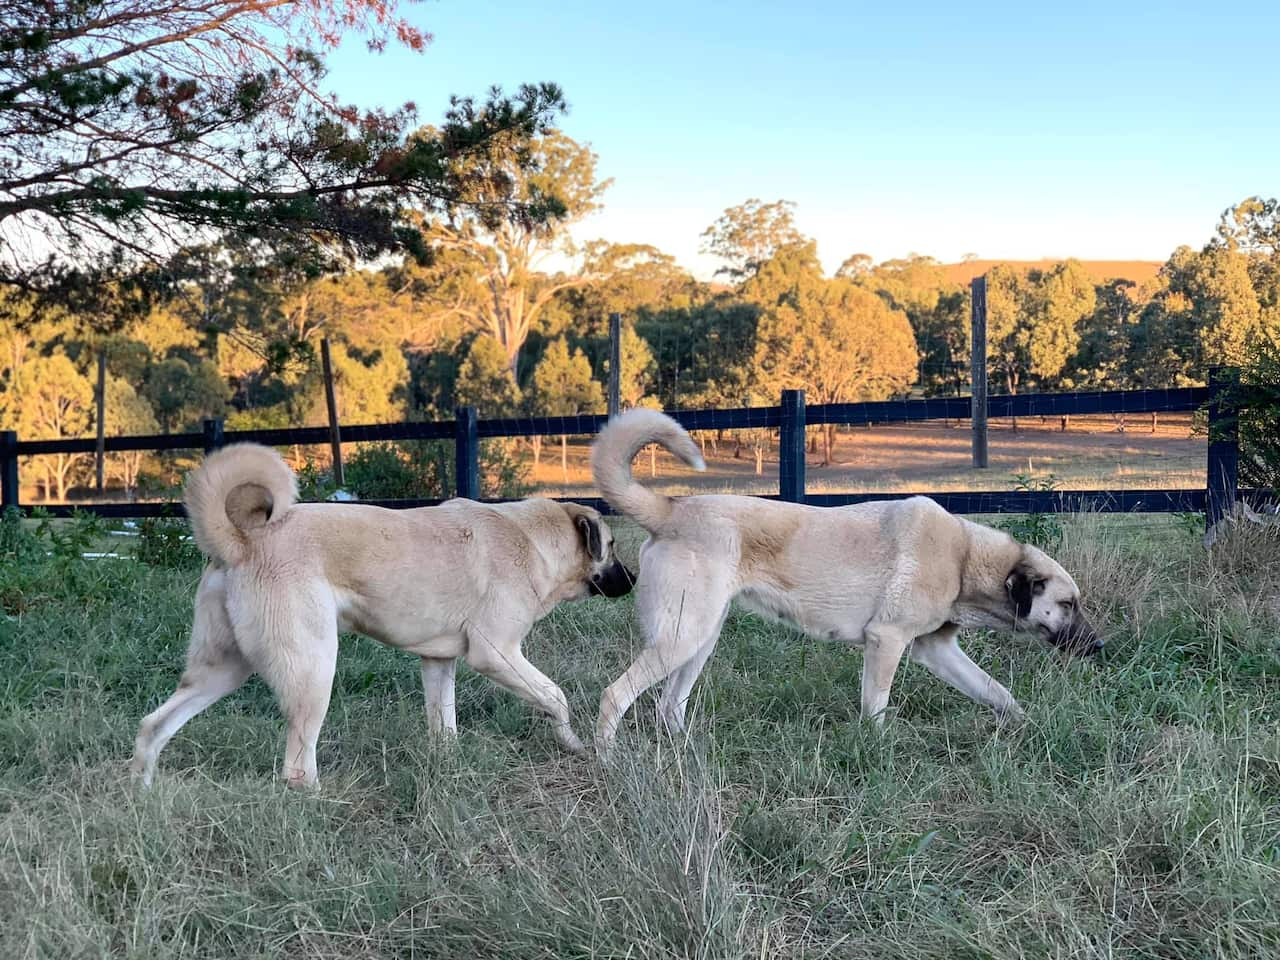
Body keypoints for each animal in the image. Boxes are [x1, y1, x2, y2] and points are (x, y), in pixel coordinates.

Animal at [128, 442, 629, 788]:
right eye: (612, 546)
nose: (634, 579)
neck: (532, 539)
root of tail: (241, 542)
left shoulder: (438, 663)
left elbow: (444, 725)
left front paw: (448, 766)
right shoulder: (497, 653)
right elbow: (556, 697)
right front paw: (575, 743)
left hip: (223, 670)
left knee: (153, 725)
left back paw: (144, 792)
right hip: (313, 671)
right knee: (296, 767)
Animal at [588, 409, 1100, 757]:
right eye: (1068, 604)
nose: (1100, 647)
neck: (964, 559)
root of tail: (669, 510)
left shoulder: (938, 650)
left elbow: (998, 692)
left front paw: (1027, 726)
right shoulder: (887, 641)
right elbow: (877, 706)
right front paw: (877, 747)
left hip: (699, 640)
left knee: (667, 706)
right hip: (682, 637)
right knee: (616, 695)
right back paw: (609, 759)